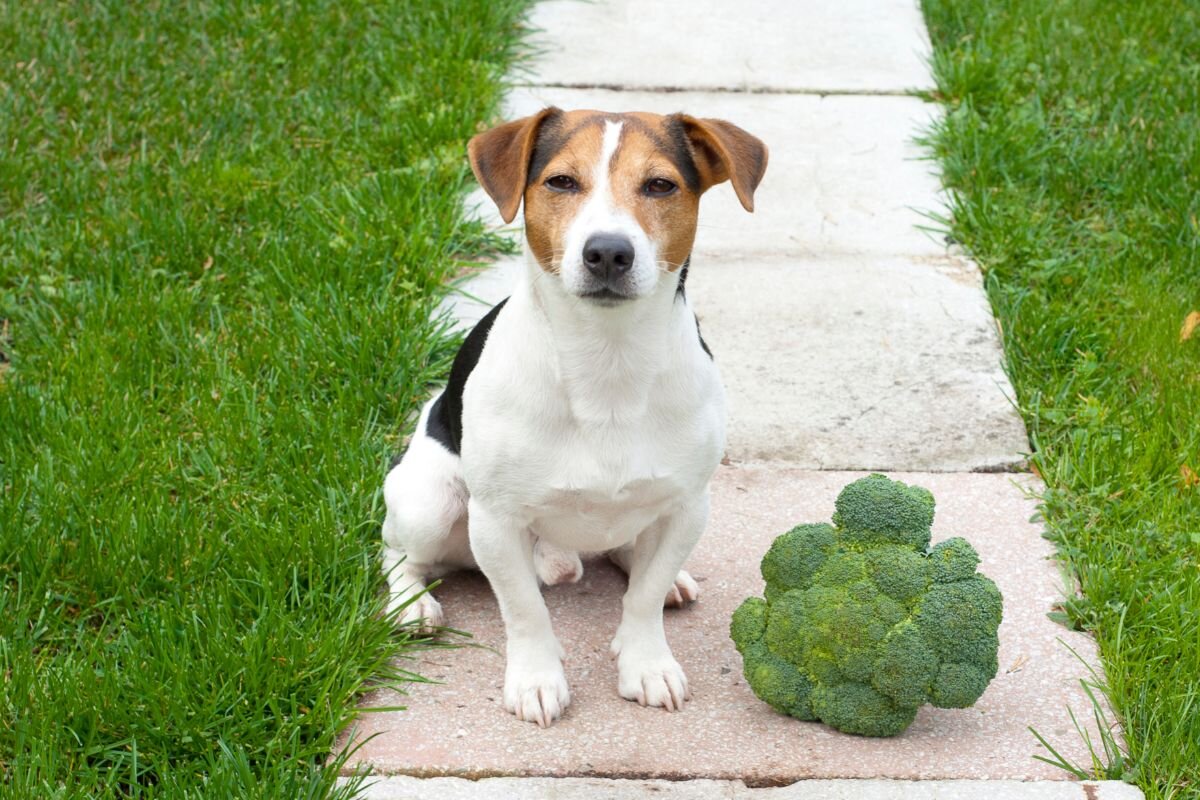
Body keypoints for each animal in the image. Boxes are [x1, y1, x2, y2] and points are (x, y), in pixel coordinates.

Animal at [384, 106, 768, 724]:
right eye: (561, 181)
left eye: (660, 185)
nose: (608, 251)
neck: (607, 360)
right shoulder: (496, 521)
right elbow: (524, 610)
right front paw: (537, 679)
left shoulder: (688, 507)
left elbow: (643, 599)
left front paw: (646, 662)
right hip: (429, 505)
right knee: (395, 553)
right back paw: (410, 604)